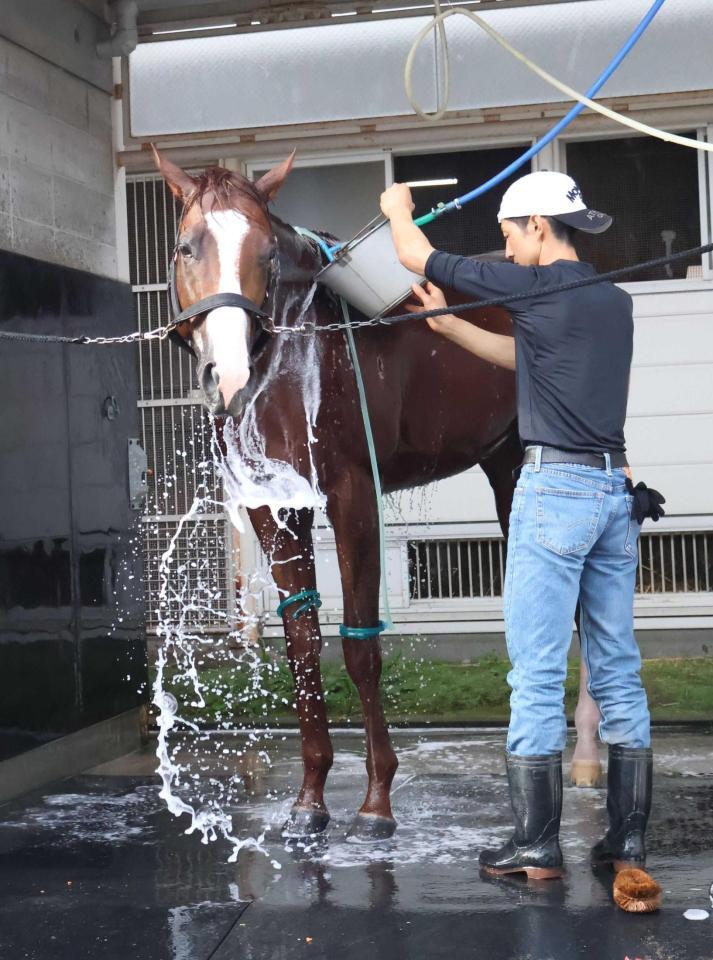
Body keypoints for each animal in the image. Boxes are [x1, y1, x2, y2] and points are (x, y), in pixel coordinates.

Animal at [153, 148, 596, 840]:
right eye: (184, 246)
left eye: (267, 253)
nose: (227, 375)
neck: (298, 352)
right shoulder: (272, 506)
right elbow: (303, 646)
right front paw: (309, 798)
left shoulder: (351, 498)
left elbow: (360, 648)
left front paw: (376, 801)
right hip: (504, 466)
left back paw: (586, 755)